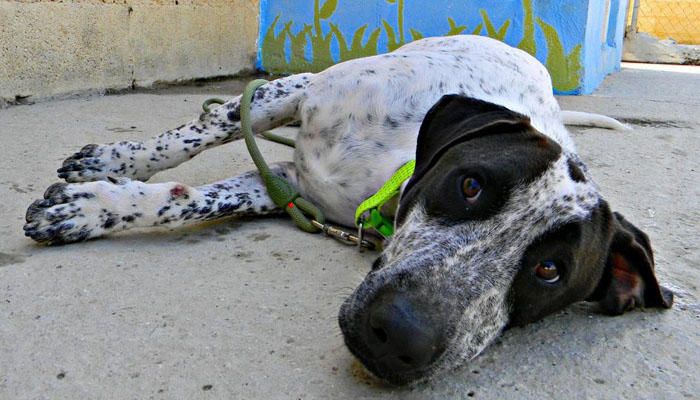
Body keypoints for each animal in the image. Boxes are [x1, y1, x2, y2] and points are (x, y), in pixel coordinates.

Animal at [26, 36, 672, 384]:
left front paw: (102, 205)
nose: (400, 337)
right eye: (470, 186)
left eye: (548, 271)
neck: (387, 170)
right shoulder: (298, 92)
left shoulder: (284, 187)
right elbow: (202, 135)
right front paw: (110, 174)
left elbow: (193, 201)